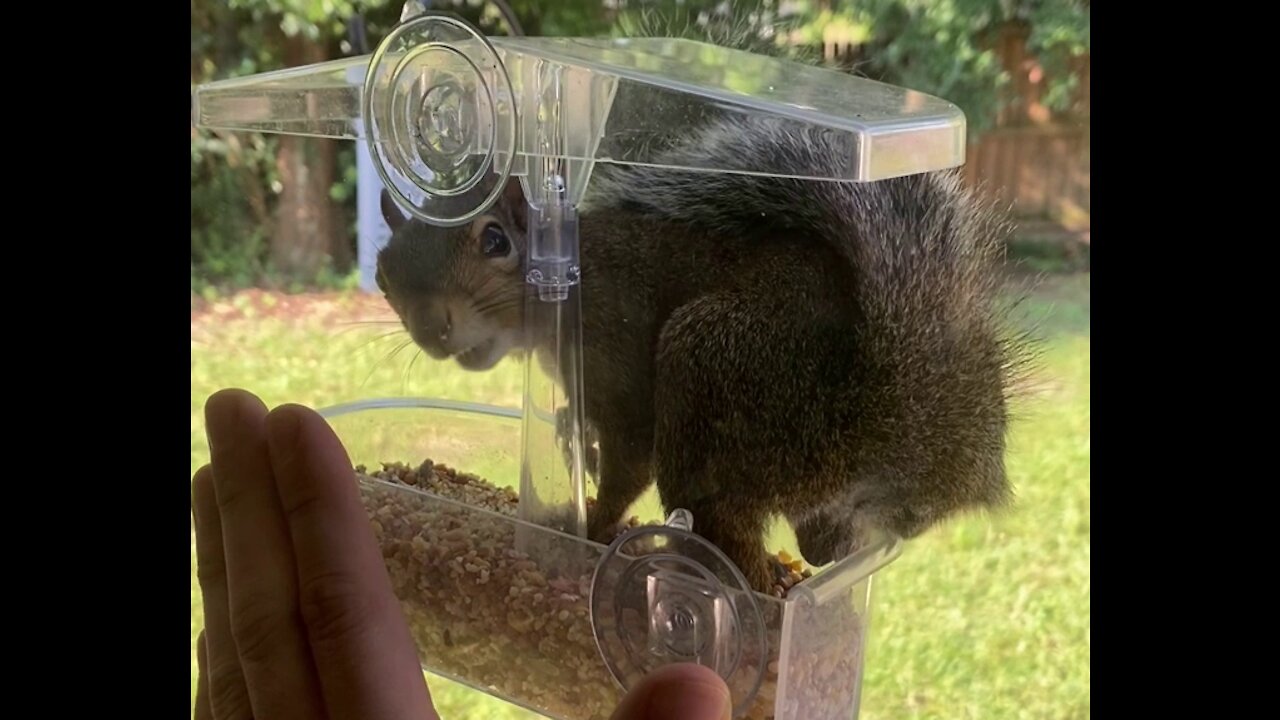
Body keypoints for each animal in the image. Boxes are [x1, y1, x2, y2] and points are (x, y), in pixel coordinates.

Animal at [373, 28, 1034, 591]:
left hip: (716, 371)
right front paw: (568, 434)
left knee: (726, 526)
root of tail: (886, 404)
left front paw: (589, 518)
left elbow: (629, 459)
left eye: (494, 242)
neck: (568, 283)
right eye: (381, 273)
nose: (433, 329)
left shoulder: (612, 345)